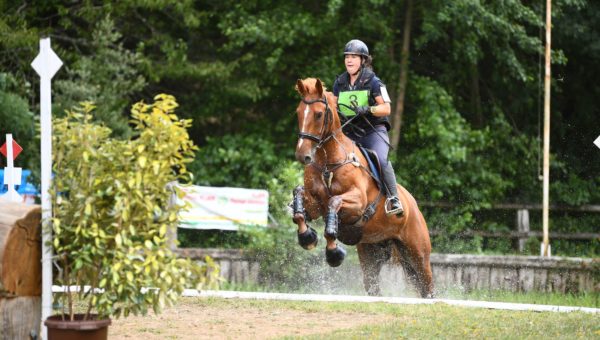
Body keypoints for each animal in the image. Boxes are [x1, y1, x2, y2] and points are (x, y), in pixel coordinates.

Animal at [290, 77, 432, 298]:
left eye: (319, 114)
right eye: (298, 112)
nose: (302, 155)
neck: (328, 162)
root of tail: (414, 204)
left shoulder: (357, 204)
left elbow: (334, 201)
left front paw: (334, 253)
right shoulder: (315, 205)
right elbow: (299, 203)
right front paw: (307, 237)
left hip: (418, 253)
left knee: (428, 288)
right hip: (371, 253)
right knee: (374, 288)